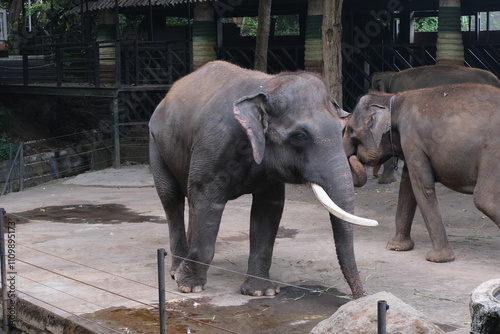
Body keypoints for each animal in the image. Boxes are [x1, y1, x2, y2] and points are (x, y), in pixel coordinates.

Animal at [150, 61, 376, 298]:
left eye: (342, 130)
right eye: (301, 136)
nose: (358, 296)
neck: (268, 86)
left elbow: (268, 210)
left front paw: (261, 291)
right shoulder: (213, 146)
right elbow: (206, 201)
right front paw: (190, 286)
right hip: (156, 144)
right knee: (171, 199)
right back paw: (176, 272)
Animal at [344, 83, 500, 264]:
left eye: (350, 130)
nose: (354, 157)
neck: (393, 99)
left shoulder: (412, 140)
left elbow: (421, 186)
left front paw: (438, 259)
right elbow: (407, 187)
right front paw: (396, 247)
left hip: (493, 153)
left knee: (485, 200)